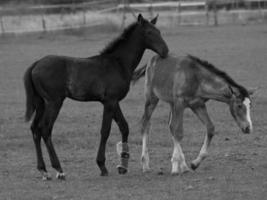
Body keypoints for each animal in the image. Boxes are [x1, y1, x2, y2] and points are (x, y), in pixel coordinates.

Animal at [23, 14, 170, 180]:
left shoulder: (114, 102)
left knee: (35, 129)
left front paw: (123, 165)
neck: (118, 63)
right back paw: (59, 169)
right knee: (45, 129)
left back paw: (43, 170)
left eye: (159, 31)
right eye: (149, 33)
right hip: (54, 102)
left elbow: (124, 127)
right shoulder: (109, 102)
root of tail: (35, 64)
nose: (165, 51)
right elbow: (105, 130)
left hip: (41, 103)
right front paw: (102, 166)